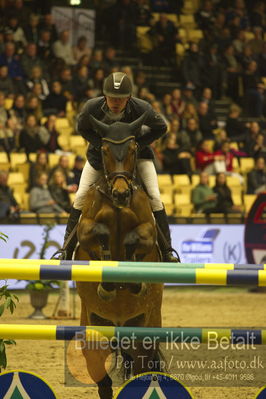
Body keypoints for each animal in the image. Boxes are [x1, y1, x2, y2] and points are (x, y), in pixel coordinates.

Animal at [74, 113, 163, 399]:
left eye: (134, 148)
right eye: (104, 149)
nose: (121, 194)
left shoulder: (147, 231)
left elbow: (136, 238)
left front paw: (131, 279)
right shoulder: (85, 229)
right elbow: (98, 232)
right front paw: (108, 281)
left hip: (145, 331)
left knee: (143, 369)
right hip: (95, 332)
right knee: (102, 379)